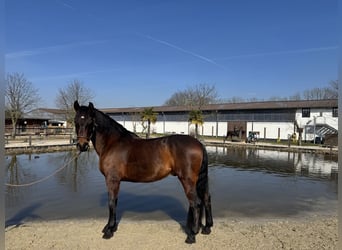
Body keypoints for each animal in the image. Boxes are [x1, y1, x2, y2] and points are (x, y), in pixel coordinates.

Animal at [74, 100, 214, 243]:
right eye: (76, 121)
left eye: (90, 122)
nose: (82, 145)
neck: (112, 143)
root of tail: (198, 143)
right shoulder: (115, 181)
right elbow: (115, 201)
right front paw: (110, 227)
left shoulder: (112, 179)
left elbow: (112, 202)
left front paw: (109, 231)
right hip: (197, 180)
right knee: (206, 198)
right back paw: (206, 228)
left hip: (187, 179)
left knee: (196, 203)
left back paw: (192, 235)